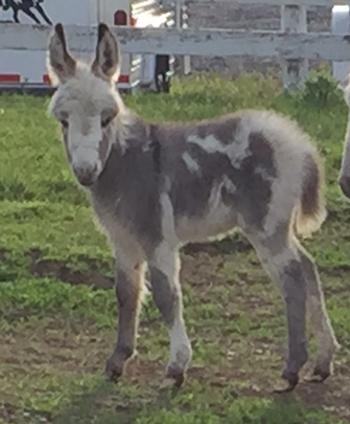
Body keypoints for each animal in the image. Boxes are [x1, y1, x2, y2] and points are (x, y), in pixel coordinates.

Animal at [47, 23, 338, 392]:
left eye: (106, 118)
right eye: (63, 121)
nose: (86, 172)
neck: (125, 161)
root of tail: (299, 141)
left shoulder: (157, 238)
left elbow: (166, 296)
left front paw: (176, 367)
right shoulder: (123, 241)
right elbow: (127, 294)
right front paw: (117, 362)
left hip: (266, 227)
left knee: (293, 281)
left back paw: (292, 369)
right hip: (279, 227)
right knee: (309, 269)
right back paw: (323, 362)